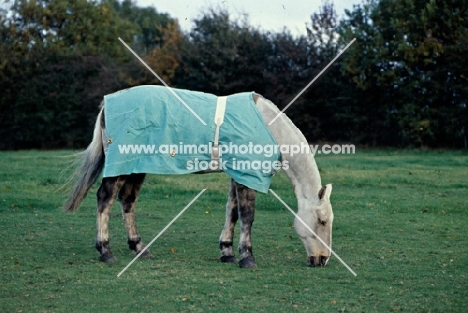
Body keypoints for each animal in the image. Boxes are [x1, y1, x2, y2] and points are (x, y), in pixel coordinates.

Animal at [63, 88, 332, 268]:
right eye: (322, 221)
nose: (322, 259)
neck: (267, 125)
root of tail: (106, 106)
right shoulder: (247, 175)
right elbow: (247, 216)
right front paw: (247, 257)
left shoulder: (237, 174)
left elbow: (232, 212)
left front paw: (227, 252)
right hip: (122, 165)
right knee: (105, 199)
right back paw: (105, 250)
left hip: (136, 166)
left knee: (127, 201)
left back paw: (140, 248)